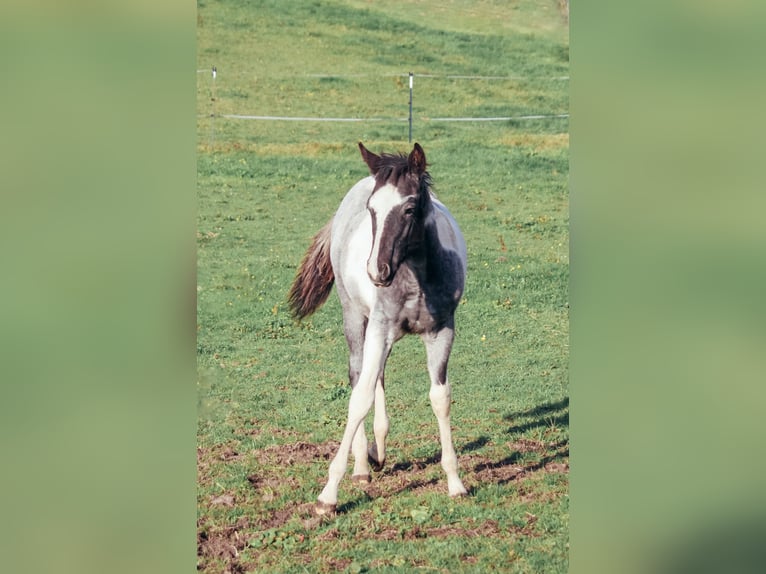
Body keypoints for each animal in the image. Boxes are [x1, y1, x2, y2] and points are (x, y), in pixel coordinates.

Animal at [288, 142, 468, 515]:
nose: (376, 271)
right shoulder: (380, 327)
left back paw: (379, 451)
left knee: (378, 375)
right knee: (360, 375)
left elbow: (440, 397)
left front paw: (455, 482)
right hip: (357, 317)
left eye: (410, 208)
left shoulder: (442, 330)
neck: (416, 276)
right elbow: (359, 398)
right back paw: (361, 465)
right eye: (372, 209)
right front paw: (328, 495)